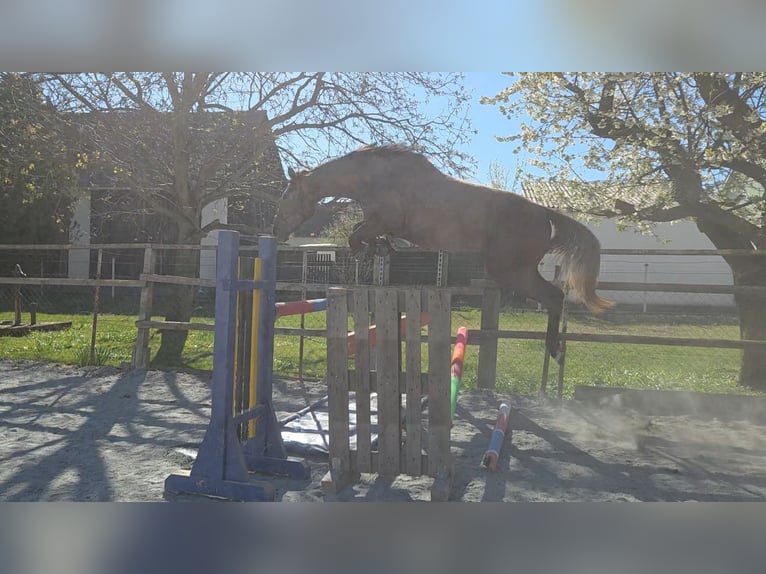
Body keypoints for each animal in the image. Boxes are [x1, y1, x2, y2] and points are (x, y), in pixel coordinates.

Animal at [273, 144, 612, 363]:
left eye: (287, 196)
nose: (276, 230)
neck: (373, 177)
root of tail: (544, 213)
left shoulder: (385, 220)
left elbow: (356, 236)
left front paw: (371, 251)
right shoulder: (383, 223)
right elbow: (365, 233)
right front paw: (383, 248)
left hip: (511, 270)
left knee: (554, 296)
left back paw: (555, 349)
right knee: (554, 296)